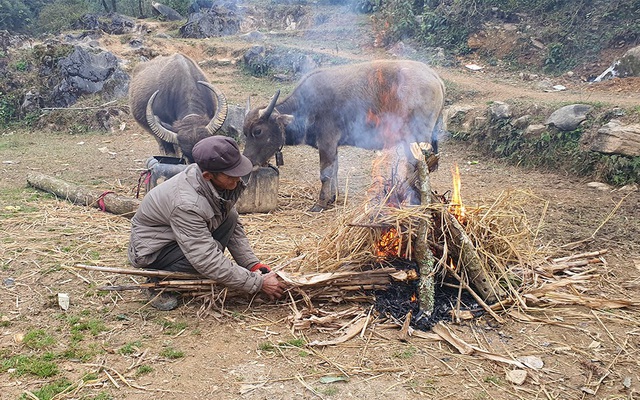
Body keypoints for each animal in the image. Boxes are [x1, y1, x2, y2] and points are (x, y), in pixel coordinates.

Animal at [242, 58, 448, 212]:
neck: (307, 106)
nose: (248, 161)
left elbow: (325, 174)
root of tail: (435, 77)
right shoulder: (333, 146)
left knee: (418, 167)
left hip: (418, 137)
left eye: (258, 131)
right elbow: (335, 170)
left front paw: (320, 203)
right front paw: (333, 197)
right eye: (245, 133)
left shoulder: (326, 142)